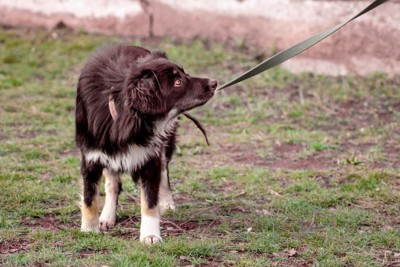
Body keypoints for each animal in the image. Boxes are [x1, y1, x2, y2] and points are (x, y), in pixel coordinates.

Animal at [75, 45, 219, 245]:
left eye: (185, 73)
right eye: (178, 82)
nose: (214, 83)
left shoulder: (150, 157)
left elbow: (150, 201)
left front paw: (150, 234)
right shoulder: (91, 157)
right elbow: (89, 199)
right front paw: (89, 229)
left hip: (165, 144)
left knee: (164, 172)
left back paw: (166, 201)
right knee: (112, 184)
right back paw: (107, 216)